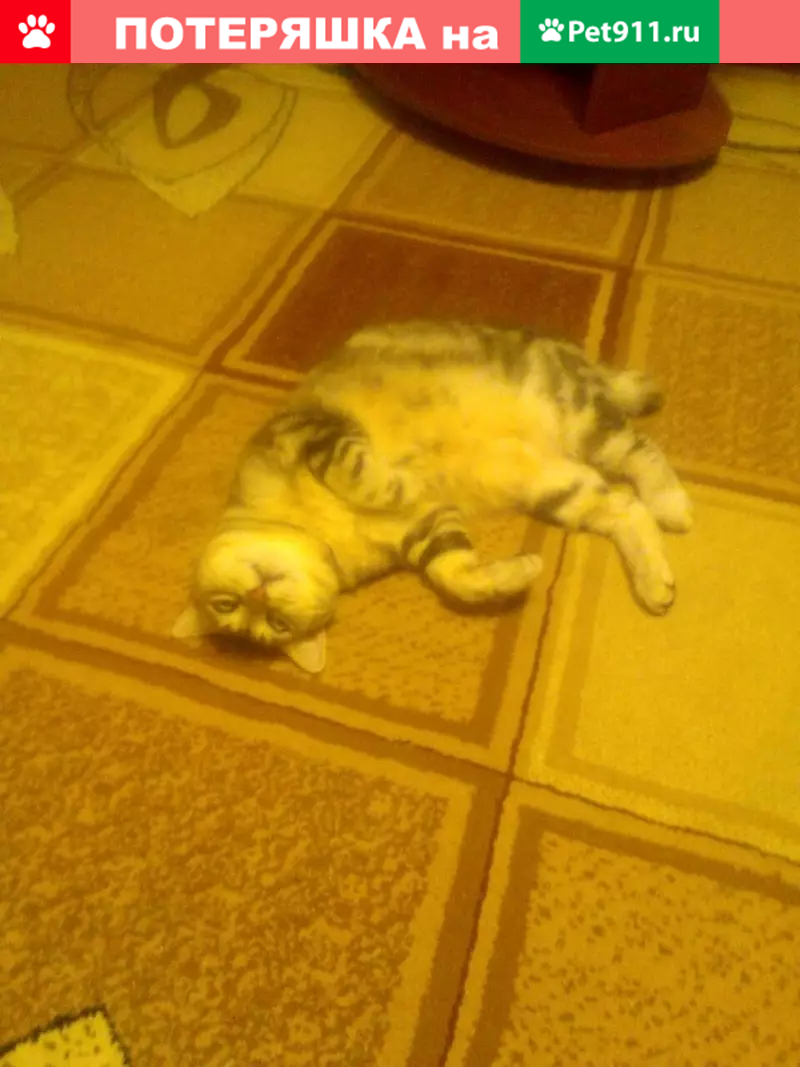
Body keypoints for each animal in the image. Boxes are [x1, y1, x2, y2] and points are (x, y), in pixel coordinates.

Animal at [172, 321, 692, 673]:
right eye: (263, 623)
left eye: (228, 605)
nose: (259, 596)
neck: (324, 530)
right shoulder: (427, 527)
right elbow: (455, 575)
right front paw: (516, 574)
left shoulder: (314, 432)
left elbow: (360, 473)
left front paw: (404, 478)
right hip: (555, 487)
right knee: (626, 508)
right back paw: (655, 584)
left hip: (583, 420)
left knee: (644, 454)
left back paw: (673, 505)